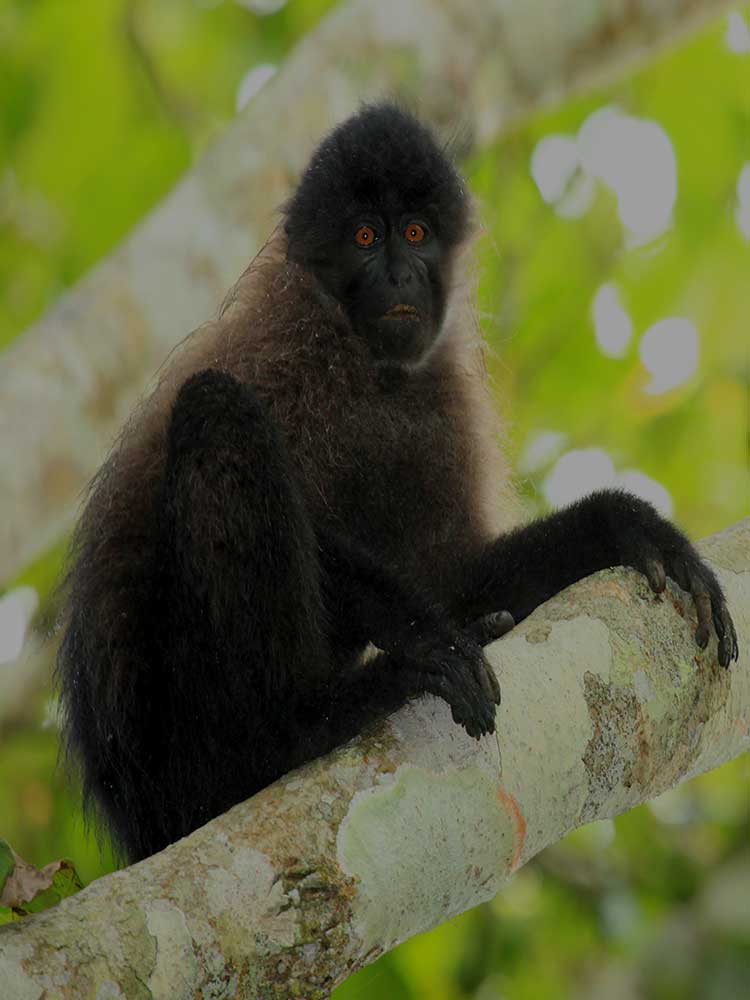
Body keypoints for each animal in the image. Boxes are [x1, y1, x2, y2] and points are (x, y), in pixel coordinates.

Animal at [56, 102, 738, 865]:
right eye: (364, 236)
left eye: (415, 233)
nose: (400, 274)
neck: (370, 370)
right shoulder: (289, 357)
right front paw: (428, 642)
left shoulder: (437, 404)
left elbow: (450, 575)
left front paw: (620, 526)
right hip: (185, 731)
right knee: (216, 409)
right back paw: (298, 725)